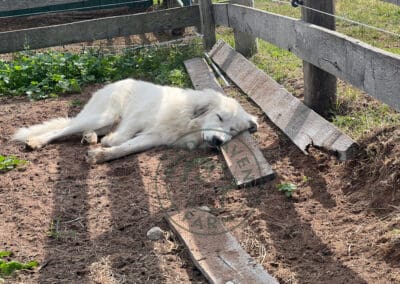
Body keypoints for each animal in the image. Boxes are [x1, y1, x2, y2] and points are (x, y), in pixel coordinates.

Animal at [13, 79, 260, 163]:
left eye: (232, 130)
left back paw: (90, 137)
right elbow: (121, 138)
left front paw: (100, 155)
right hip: (105, 115)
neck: (188, 122)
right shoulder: (139, 116)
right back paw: (36, 141)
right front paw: (109, 143)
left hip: (102, 120)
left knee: (89, 130)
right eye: (219, 117)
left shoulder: (154, 138)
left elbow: (127, 148)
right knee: (64, 129)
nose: (218, 141)